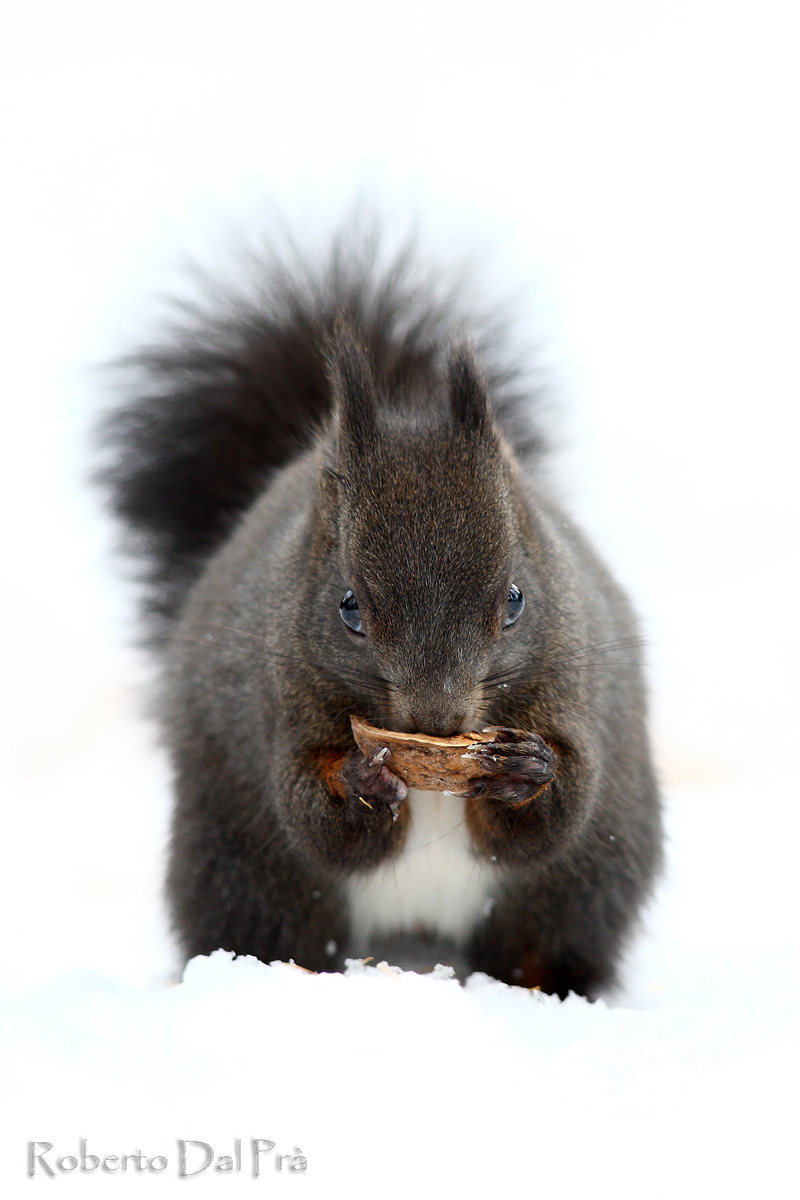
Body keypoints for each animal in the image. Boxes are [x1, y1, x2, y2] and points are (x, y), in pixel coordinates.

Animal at [98, 223, 662, 998]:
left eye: (516, 600)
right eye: (348, 608)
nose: (437, 720)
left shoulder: (568, 676)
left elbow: (559, 808)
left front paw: (527, 769)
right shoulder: (284, 697)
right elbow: (315, 817)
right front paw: (364, 778)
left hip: (582, 887)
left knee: (550, 938)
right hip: (240, 871)